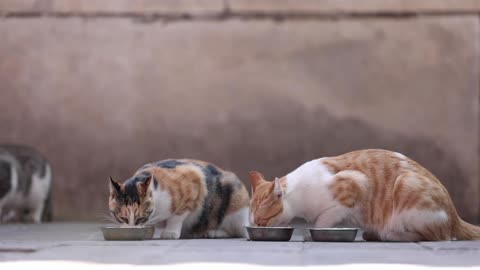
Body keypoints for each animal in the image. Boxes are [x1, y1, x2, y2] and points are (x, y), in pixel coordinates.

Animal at [109, 158, 249, 238]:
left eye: (140, 218)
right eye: (123, 218)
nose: (132, 228)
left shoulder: (193, 182)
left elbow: (176, 217)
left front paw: (170, 233)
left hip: (235, 207)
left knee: (239, 232)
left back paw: (212, 233)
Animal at [249, 149, 480, 242]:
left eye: (261, 222)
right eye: (252, 222)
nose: (256, 228)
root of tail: (454, 215)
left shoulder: (354, 185)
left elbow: (322, 220)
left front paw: (310, 233)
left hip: (406, 184)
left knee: (440, 236)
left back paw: (389, 234)